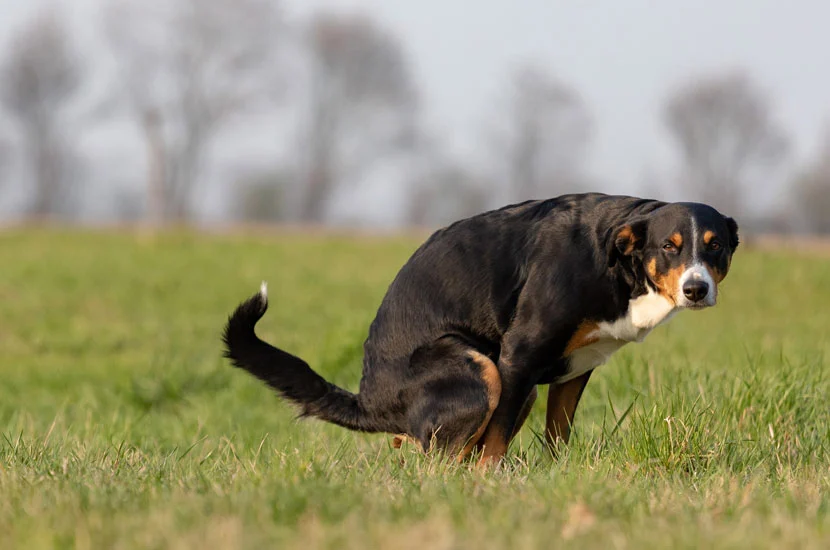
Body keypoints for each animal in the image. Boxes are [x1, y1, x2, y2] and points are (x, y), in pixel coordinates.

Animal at [223, 194, 740, 466]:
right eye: (670, 246)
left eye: (714, 246)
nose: (696, 289)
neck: (614, 262)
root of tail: (369, 398)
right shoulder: (520, 355)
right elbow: (494, 444)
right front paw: (491, 484)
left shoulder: (574, 372)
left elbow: (558, 433)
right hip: (484, 370)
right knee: (441, 454)